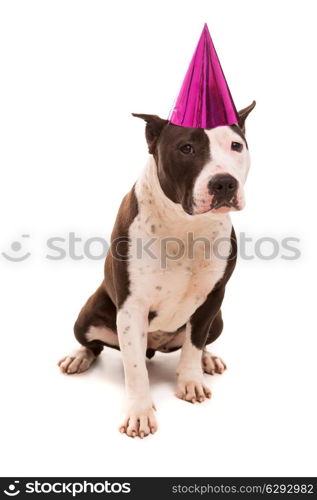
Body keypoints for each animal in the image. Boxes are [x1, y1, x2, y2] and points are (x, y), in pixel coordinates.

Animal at [57, 101, 254, 438]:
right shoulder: (132, 307)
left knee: (199, 341)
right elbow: (135, 369)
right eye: (186, 148)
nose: (224, 182)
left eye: (236, 146)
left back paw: (209, 359)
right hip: (87, 316)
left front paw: (191, 380)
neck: (186, 225)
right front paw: (139, 411)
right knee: (94, 344)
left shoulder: (213, 298)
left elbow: (194, 344)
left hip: (218, 320)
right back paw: (77, 356)